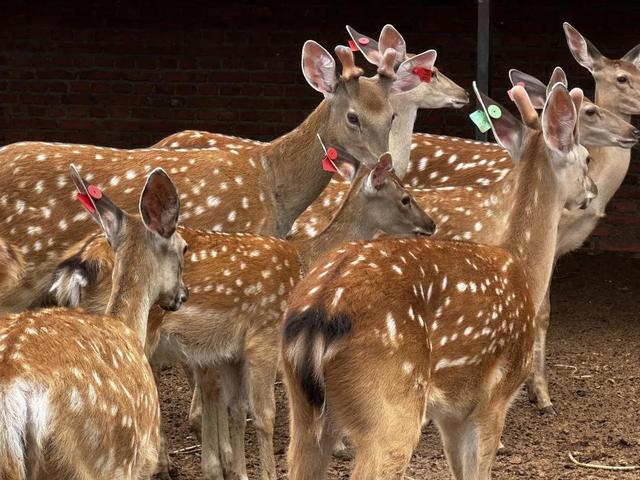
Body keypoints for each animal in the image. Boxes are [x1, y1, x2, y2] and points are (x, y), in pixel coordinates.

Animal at [280, 80, 596, 478]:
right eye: (586, 157)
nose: (591, 192)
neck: (524, 268)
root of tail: (318, 313)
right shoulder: (494, 398)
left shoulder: (452, 413)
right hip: (392, 406)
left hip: (304, 411)